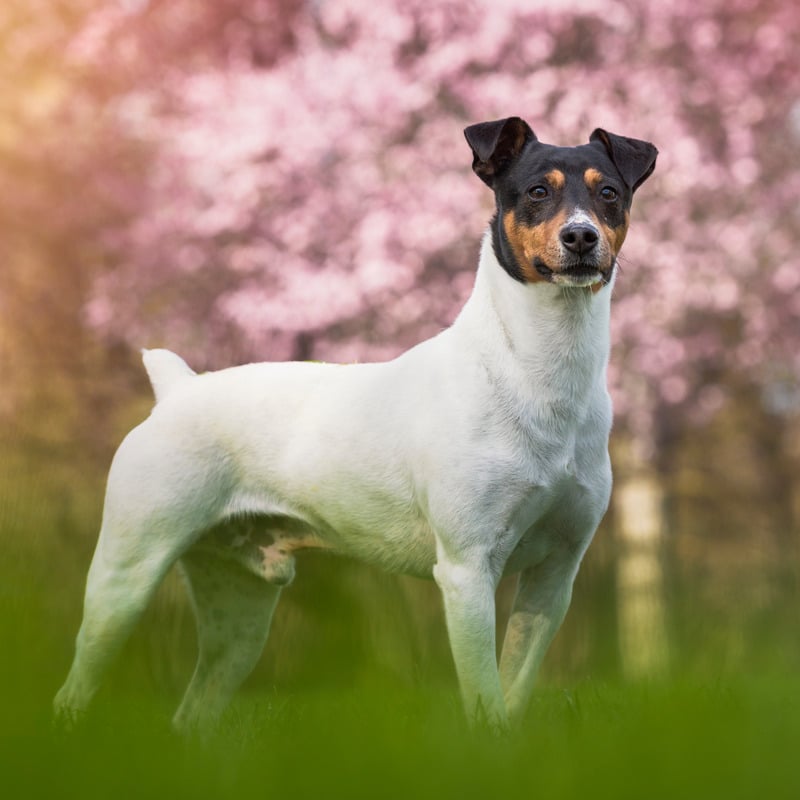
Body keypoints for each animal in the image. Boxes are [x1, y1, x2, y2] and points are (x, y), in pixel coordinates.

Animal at [54, 115, 656, 736]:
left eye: (610, 193)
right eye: (537, 191)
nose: (581, 237)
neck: (537, 372)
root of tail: (176, 389)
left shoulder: (555, 577)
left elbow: (513, 689)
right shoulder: (467, 571)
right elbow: (484, 696)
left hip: (240, 612)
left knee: (194, 710)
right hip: (125, 577)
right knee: (75, 686)